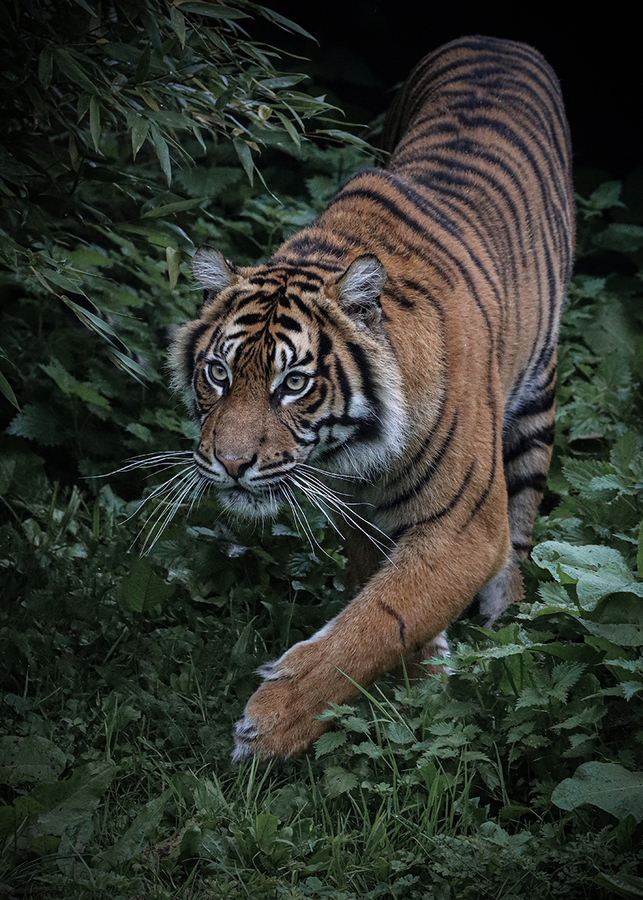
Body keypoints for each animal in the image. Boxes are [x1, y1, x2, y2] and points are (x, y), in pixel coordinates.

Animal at [170, 35, 574, 759]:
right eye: (217, 373)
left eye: (293, 383)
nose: (231, 465)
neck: (354, 453)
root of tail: (496, 39)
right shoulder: (354, 510)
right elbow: (377, 597)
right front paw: (421, 677)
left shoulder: (468, 527)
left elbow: (378, 620)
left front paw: (270, 725)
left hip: (534, 401)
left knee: (525, 512)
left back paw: (506, 613)